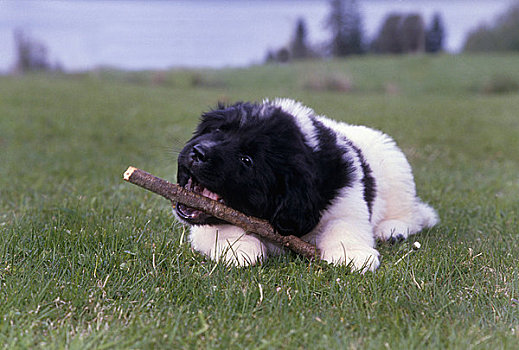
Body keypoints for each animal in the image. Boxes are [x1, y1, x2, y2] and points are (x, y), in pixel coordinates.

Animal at [176, 98, 438, 274]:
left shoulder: (347, 198)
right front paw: (239, 249)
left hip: (397, 173)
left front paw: (353, 255)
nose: (198, 153)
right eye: (217, 130)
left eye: (247, 160)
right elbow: (221, 224)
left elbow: (345, 225)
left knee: (412, 214)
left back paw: (392, 229)